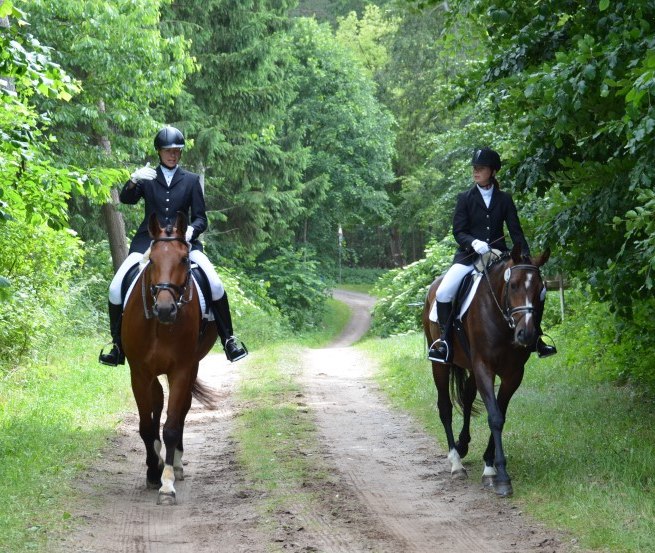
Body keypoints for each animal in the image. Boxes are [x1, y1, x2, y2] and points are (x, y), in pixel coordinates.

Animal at [124, 211, 222, 504]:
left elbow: (170, 425)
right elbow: (146, 425)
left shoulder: (181, 370)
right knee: (157, 403)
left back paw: (176, 464)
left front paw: (166, 483)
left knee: (181, 412)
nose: (165, 309)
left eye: (183, 259)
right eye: (152, 261)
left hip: (192, 366)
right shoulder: (139, 373)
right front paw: (152, 472)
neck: (159, 325)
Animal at [422, 244, 552, 494]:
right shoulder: (484, 367)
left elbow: (500, 414)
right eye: (513, 285)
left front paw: (490, 465)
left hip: (471, 368)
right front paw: (500, 475)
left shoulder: (513, 374)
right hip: (440, 365)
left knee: (467, 398)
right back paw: (456, 462)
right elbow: (494, 417)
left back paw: (463, 445)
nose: (527, 335)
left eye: (541, 290)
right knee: (445, 407)